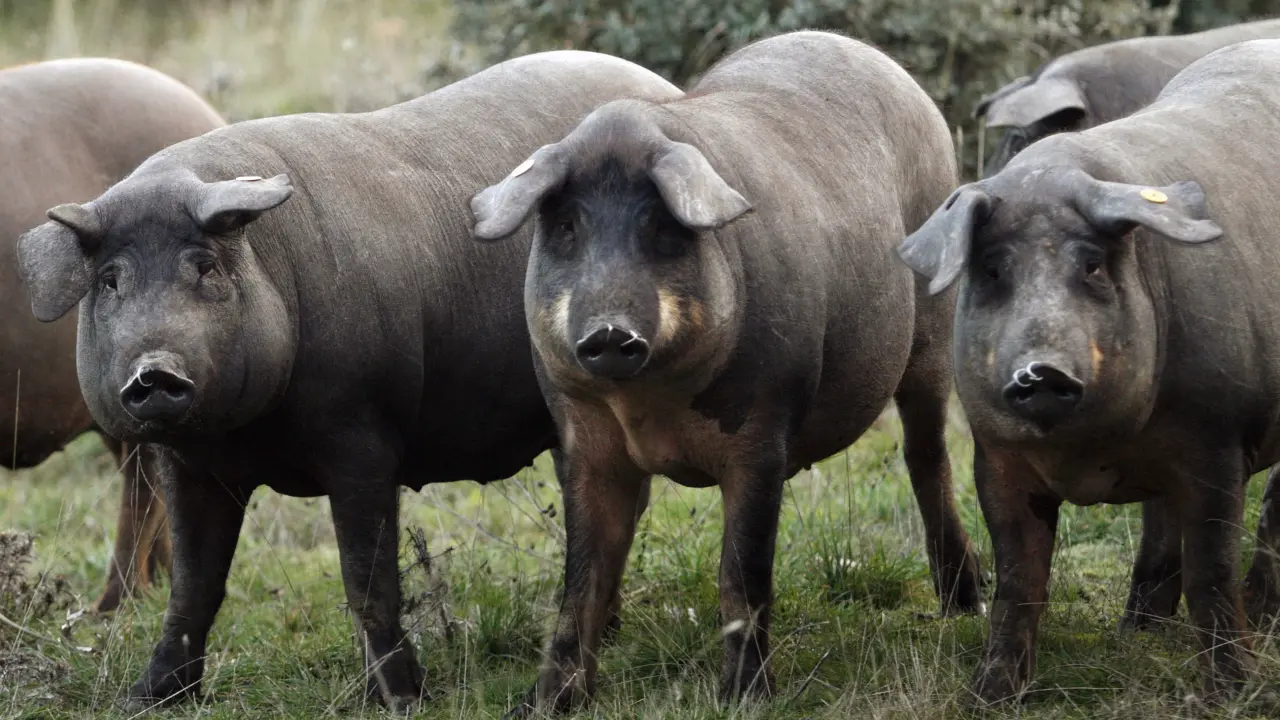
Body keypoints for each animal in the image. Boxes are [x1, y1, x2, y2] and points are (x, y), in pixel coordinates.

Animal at [471, 30, 983, 714]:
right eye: (566, 226)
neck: (650, 408)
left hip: (930, 328)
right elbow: (581, 577)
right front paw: (543, 704)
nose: (609, 332)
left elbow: (740, 572)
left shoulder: (764, 431)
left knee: (927, 453)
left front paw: (745, 698)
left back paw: (964, 605)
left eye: (662, 226)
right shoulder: (582, 437)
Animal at [897, 38, 1280, 704]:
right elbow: (1019, 579)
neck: (1092, 460)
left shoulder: (1219, 440)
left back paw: (1254, 617)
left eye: (1093, 265)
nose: (1041, 371)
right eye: (992, 270)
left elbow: (1212, 569)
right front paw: (990, 695)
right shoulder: (994, 454)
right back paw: (1138, 628)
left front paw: (1230, 695)